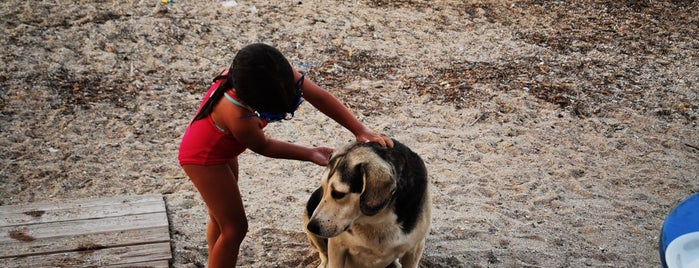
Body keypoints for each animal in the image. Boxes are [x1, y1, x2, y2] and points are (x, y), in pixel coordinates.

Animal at [304, 140, 430, 268]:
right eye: (323, 188)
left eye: (338, 194)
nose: (312, 227)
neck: (377, 220)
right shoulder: (336, 246)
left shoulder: (415, 248)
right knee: (323, 253)